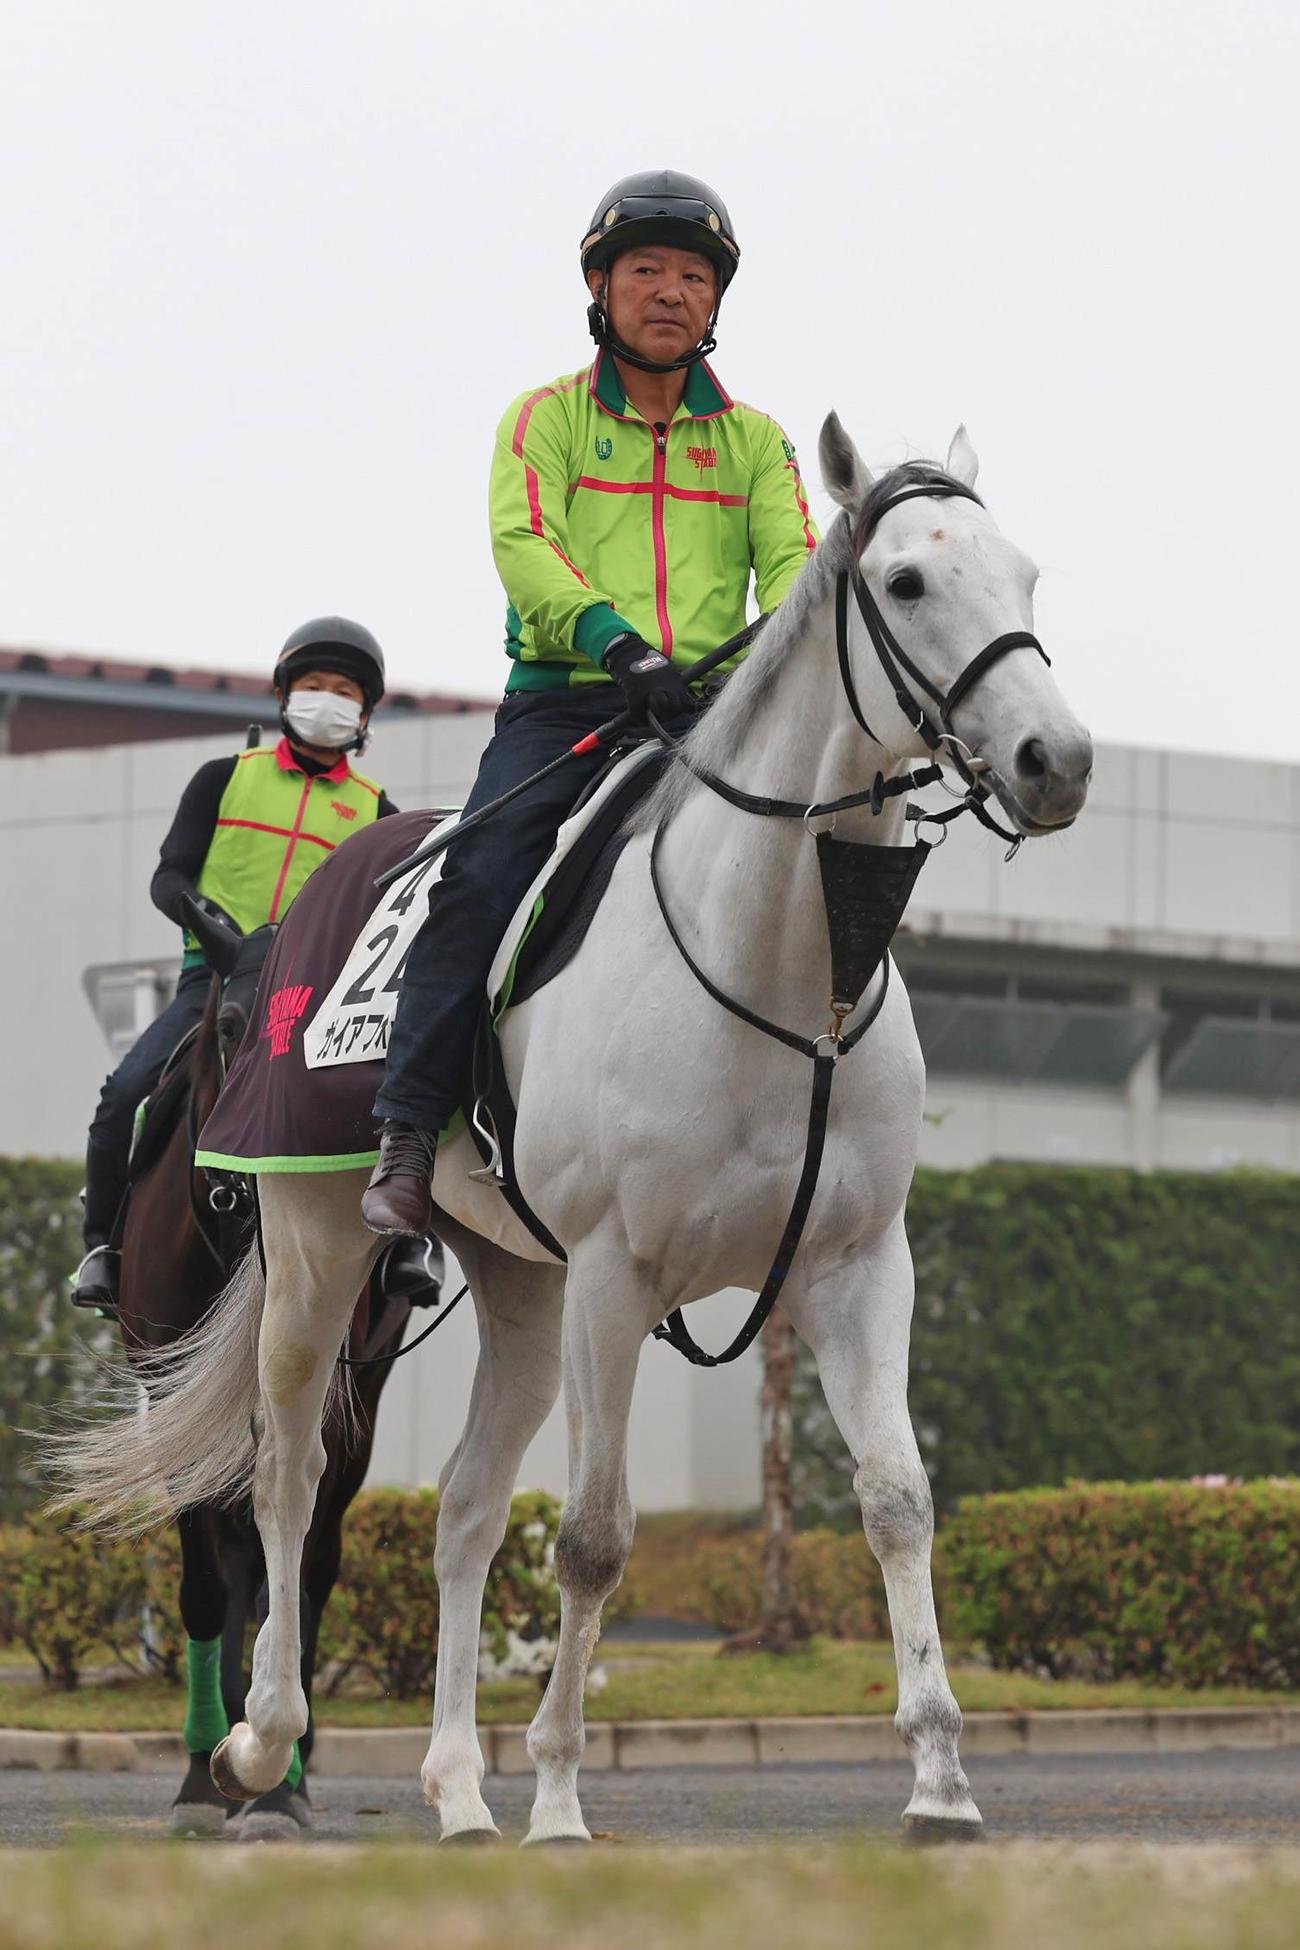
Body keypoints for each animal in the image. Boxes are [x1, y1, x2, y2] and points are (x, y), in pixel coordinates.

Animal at [112, 909, 416, 1841]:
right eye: (231, 1026)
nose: (250, 1176)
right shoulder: (170, 1395)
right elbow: (210, 1585)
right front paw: (201, 1778)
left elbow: (297, 1565)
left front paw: (275, 1784)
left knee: (310, 1565)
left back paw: (288, 1769)